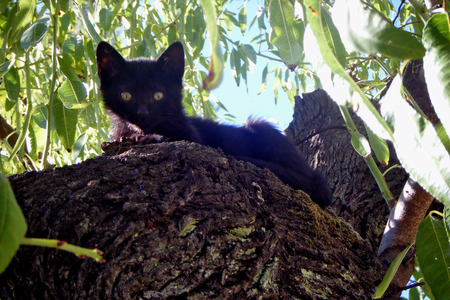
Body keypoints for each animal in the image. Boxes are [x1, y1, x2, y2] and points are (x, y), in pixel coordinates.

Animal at [97, 41, 330, 207]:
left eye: (158, 95)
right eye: (126, 95)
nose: (143, 113)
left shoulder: (192, 137)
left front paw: (146, 137)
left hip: (261, 127)